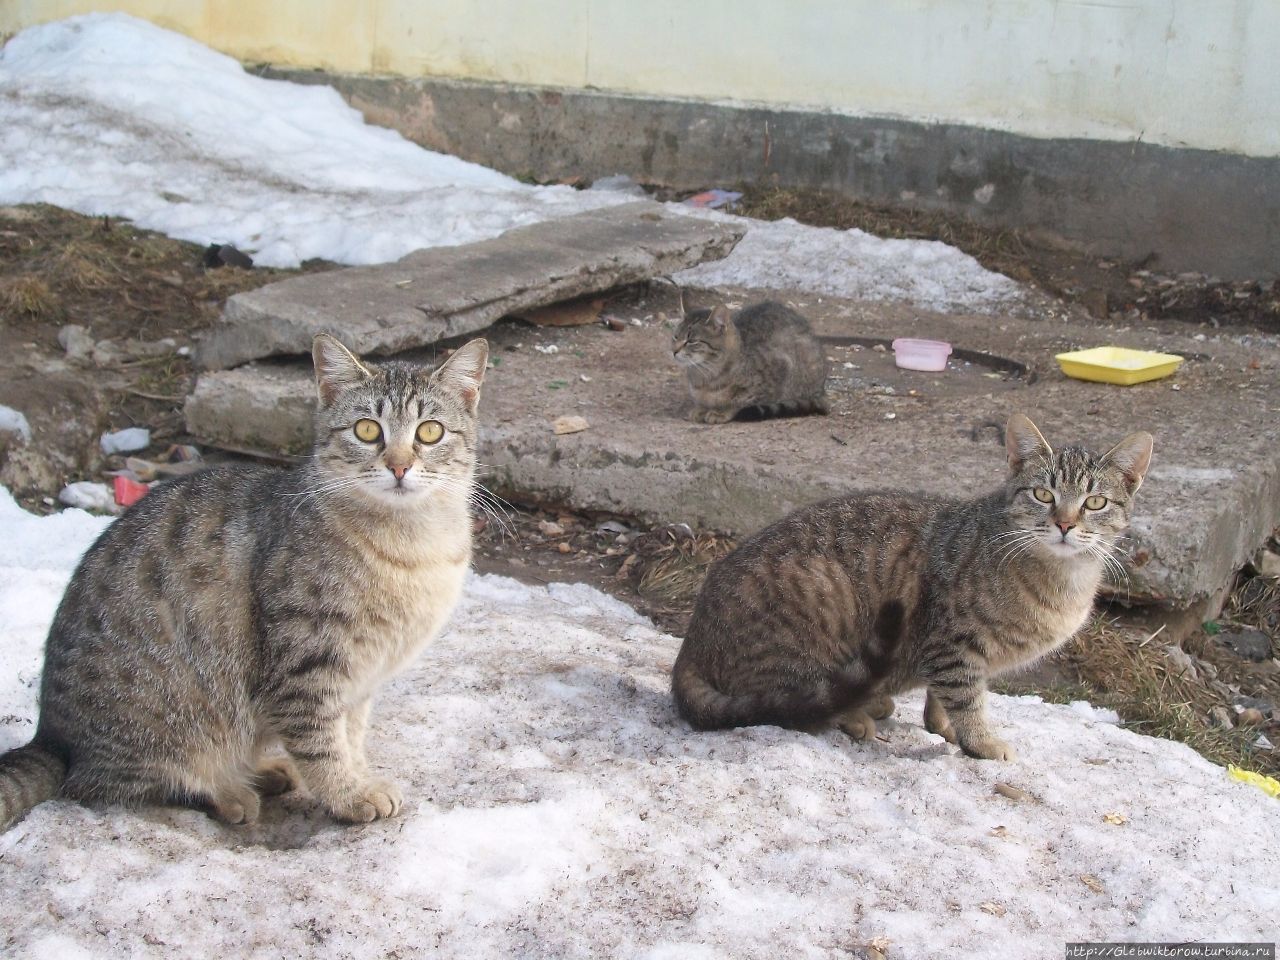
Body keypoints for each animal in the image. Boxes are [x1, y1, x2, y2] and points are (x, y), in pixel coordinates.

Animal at [0, 335, 488, 829]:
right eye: (368, 430)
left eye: (430, 432)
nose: (399, 466)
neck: (412, 545)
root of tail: (50, 736)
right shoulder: (307, 663)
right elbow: (321, 744)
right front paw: (348, 795)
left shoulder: (360, 680)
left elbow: (350, 736)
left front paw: (358, 776)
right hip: (163, 721)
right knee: (119, 783)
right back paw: (229, 792)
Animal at [670, 299, 829, 422]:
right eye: (676, 336)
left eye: (691, 341)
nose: (674, 351)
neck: (704, 375)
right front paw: (701, 409)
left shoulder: (782, 367)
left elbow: (740, 401)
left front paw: (722, 411)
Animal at [675, 417, 1157, 762]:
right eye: (1043, 495)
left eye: (1095, 502)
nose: (1064, 524)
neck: (1062, 581)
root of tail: (691, 643)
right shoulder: (951, 642)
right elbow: (966, 698)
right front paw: (980, 741)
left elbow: (946, 697)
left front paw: (942, 725)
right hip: (819, 599)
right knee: (793, 699)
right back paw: (855, 713)